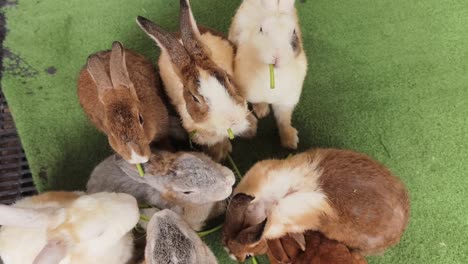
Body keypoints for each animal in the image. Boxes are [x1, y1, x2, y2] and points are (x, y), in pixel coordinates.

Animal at [229, 0, 308, 150]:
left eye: (294, 31)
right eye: (261, 29)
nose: (276, 56)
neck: (271, 74)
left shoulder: (286, 102)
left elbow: (284, 120)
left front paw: (290, 141)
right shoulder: (252, 93)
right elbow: (258, 102)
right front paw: (262, 112)